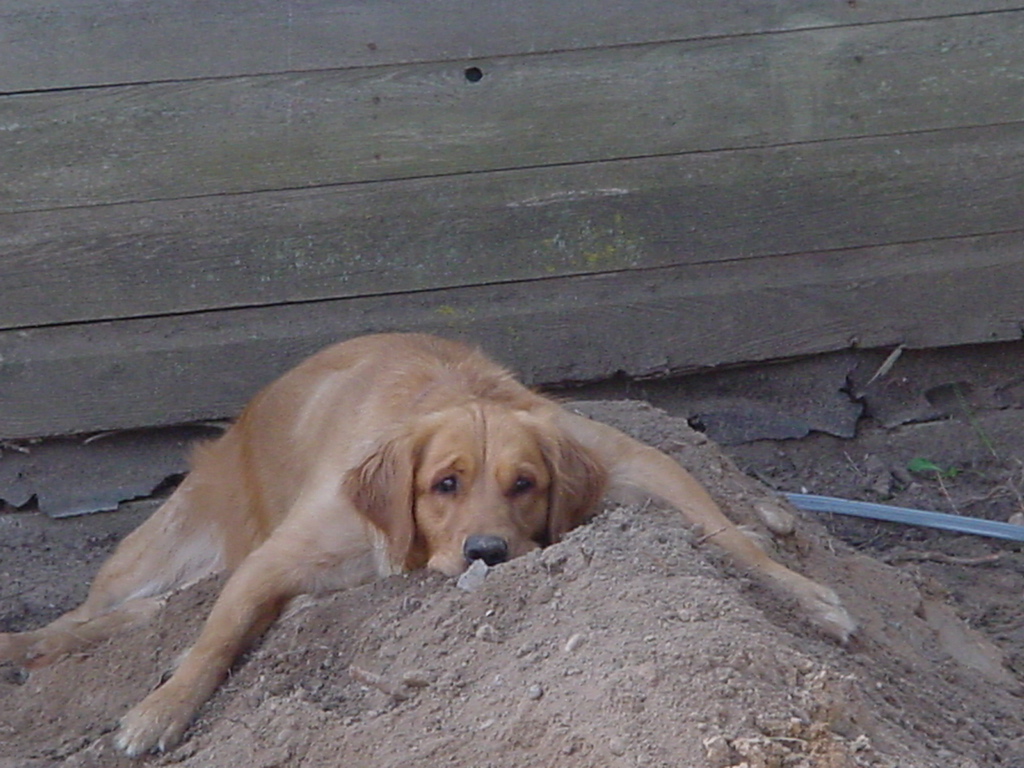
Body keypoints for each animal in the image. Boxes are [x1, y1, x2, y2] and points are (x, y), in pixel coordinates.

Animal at [0, 333, 856, 753]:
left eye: (525, 484)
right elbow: (212, 642)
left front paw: (811, 596)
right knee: (87, 617)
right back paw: (38, 646)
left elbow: (722, 531)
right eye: (444, 483)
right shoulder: (277, 556)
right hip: (158, 552)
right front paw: (159, 712)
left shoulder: (625, 459)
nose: (487, 553)